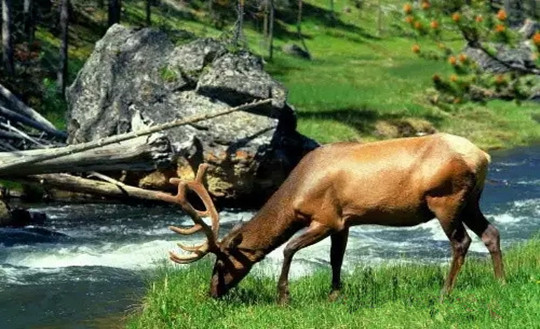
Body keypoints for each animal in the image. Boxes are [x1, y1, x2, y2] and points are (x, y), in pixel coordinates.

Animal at [156, 133, 506, 302]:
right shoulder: (345, 221)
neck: (295, 195)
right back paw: (501, 281)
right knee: (491, 233)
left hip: (446, 199)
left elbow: (288, 249)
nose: (212, 293)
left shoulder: (326, 218)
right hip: (470, 201)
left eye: (220, 263)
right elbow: (336, 258)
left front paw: (283, 297)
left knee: (461, 242)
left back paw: (445, 293)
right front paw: (335, 293)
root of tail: (483, 156)